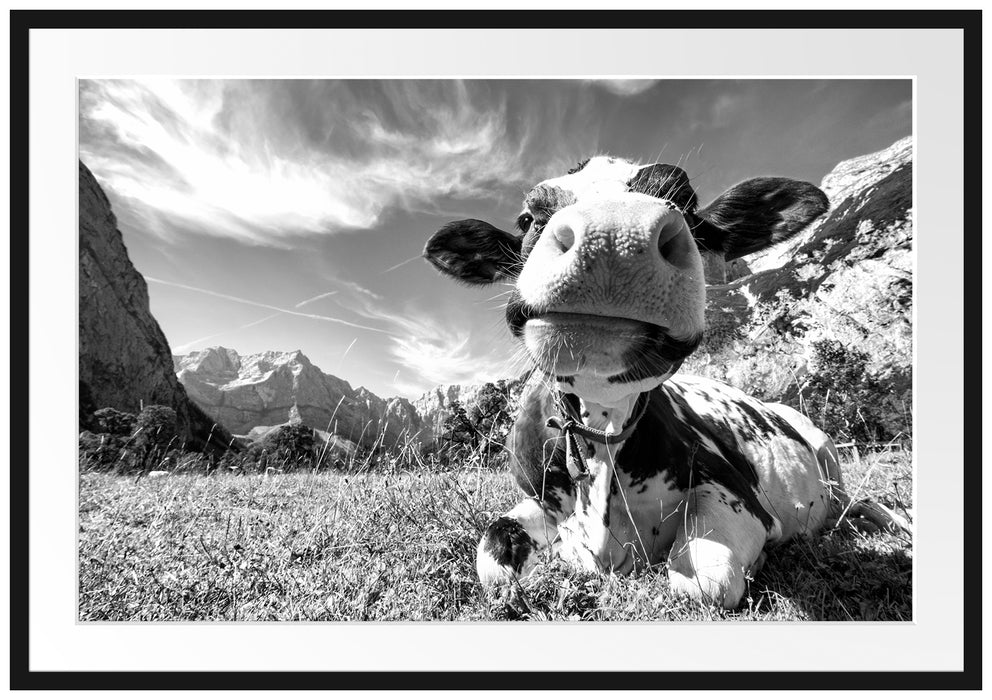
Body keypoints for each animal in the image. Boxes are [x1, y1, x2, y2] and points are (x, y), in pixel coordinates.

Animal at [423, 155, 908, 609]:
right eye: (527, 219)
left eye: (687, 203)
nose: (614, 235)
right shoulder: (537, 499)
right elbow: (493, 560)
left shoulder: (736, 492)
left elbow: (704, 582)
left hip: (827, 452)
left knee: (855, 502)